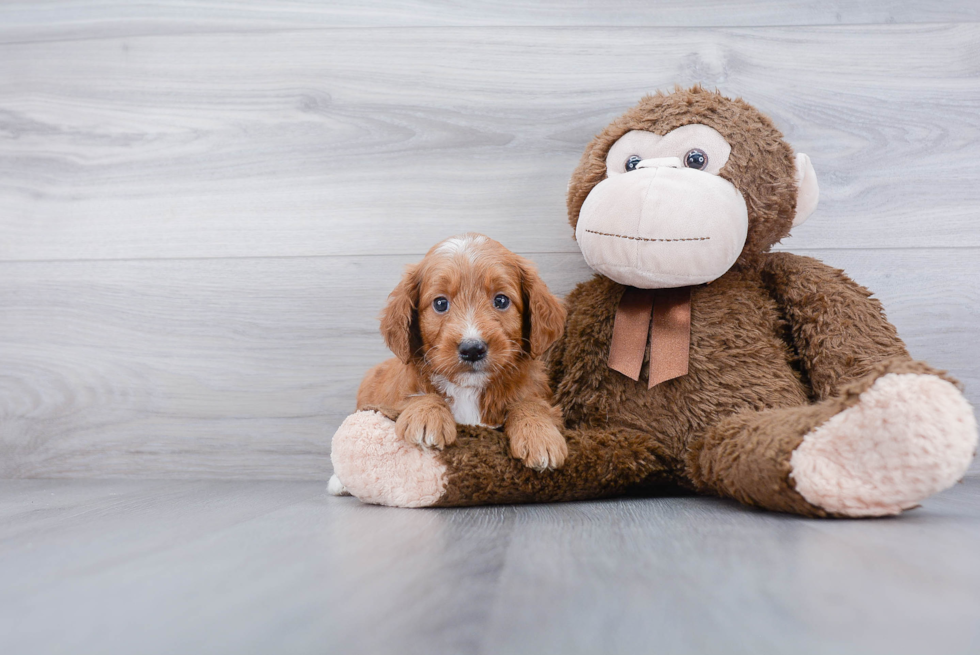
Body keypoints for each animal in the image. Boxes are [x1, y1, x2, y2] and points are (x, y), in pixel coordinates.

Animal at [356, 233, 568, 468]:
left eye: (501, 300)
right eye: (440, 303)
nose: (472, 349)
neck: (469, 389)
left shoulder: (534, 390)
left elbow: (532, 403)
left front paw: (539, 434)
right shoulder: (390, 399)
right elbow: (414, 395)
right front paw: (426, 414)